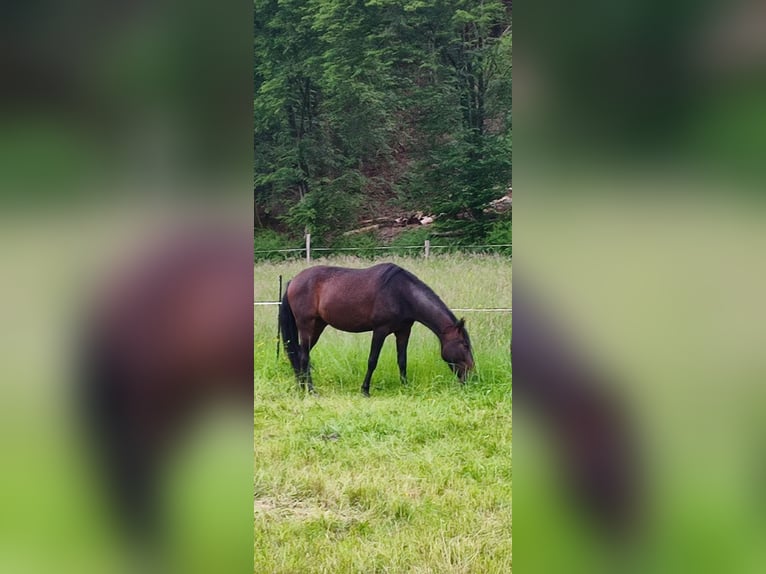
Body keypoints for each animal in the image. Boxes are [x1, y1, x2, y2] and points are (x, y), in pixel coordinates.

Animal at [282, 264, 474, 396]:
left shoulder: (403, 331)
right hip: (306, 326)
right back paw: (311, 390)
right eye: (465, 345)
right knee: (304, 356)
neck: (402, 293)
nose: (472, 375)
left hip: (318, 326)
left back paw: (301, 387)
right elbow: (372, 360)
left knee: (301, 354)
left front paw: (405, 386)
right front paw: (365, 390)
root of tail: (293, 281)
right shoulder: (380, 331)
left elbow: (402, 360)